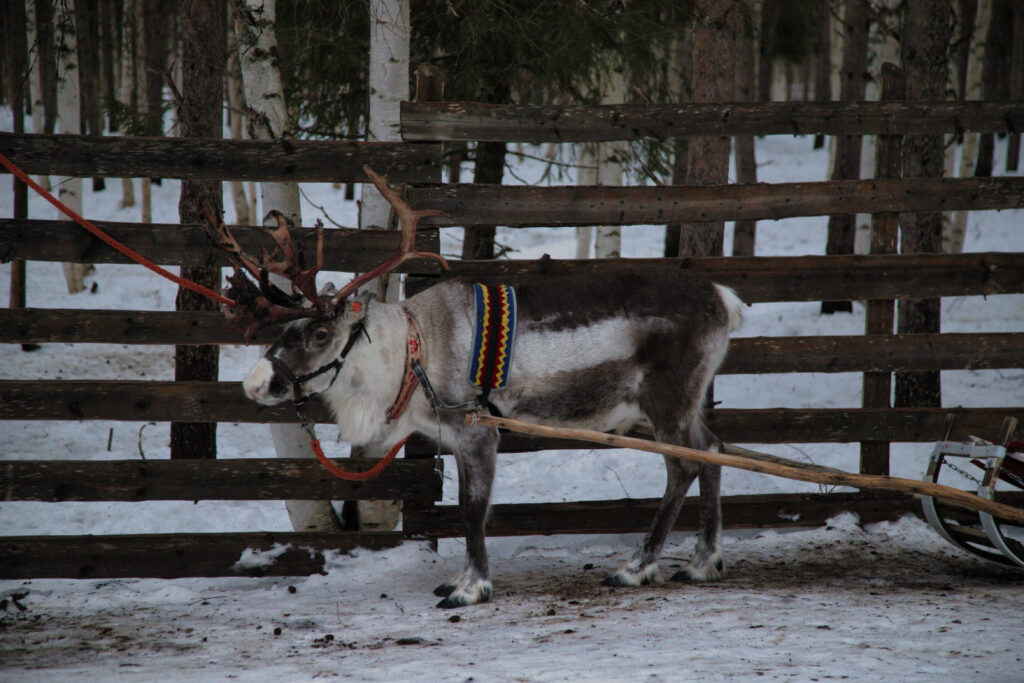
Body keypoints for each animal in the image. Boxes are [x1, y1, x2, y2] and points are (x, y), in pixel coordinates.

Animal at [208, 166, 744, 608]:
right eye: (286, 331)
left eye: (319, 334)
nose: (255, 383)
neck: (413, 351)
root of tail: (726, 299)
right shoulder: (455, 437)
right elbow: (469, 506)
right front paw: (459, 580)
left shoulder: (478, 432)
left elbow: (472, 511)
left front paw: (471, 589)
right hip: (688, 400)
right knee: (714, 449)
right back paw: (703, 562)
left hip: (666, 398)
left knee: (683, 465)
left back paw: (637, 567)